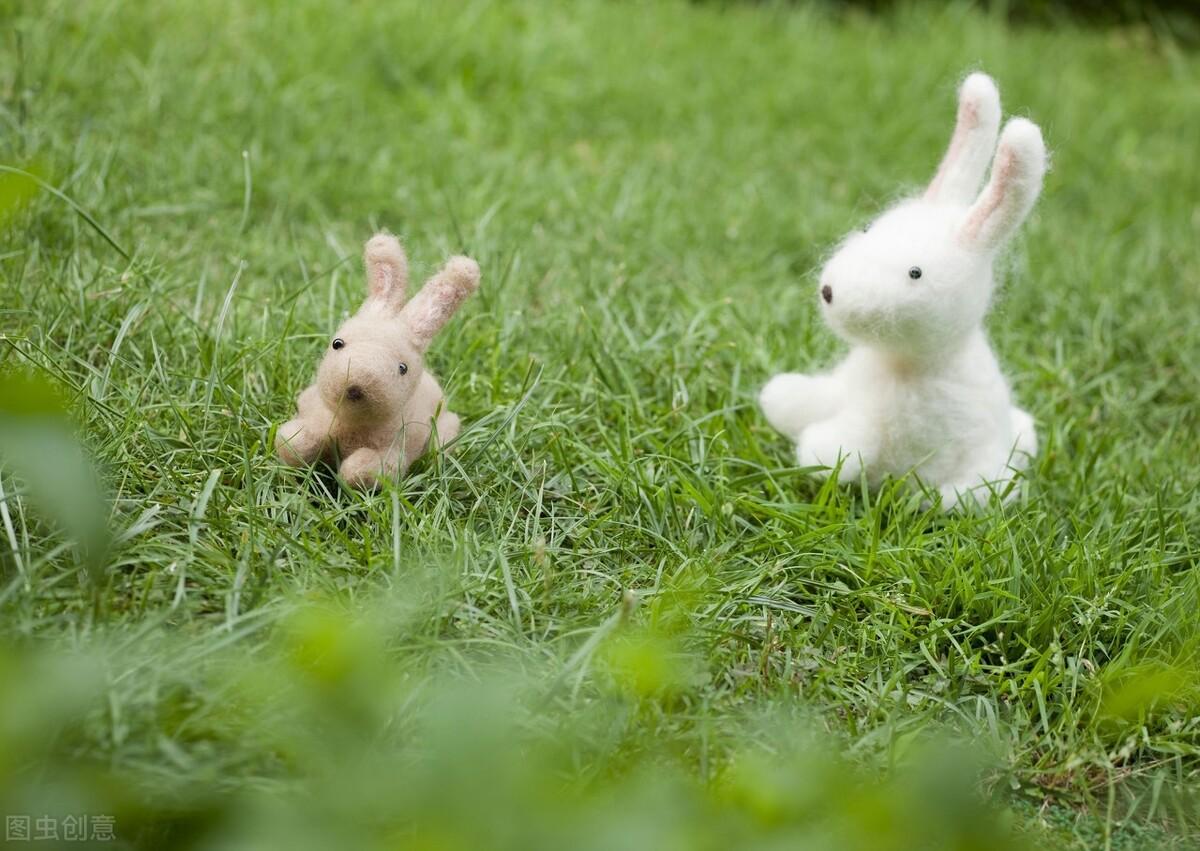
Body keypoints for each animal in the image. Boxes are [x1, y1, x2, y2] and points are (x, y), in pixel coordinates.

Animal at [276, 232, 477, 487]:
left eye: (403, 368)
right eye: (337, 344)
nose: (355, 385)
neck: (352, 423)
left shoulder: (392, 453)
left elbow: (363, 469)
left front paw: (347, 474)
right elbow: (296, 442)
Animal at [763, 71, 1046, 504]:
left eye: (916, 273)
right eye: (867, 229)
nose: (829, 291)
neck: (901, 363)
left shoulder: (882, 417)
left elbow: (850, 442)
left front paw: (818, 452)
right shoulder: (845, 386)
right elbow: (810, 399)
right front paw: (779, 398)